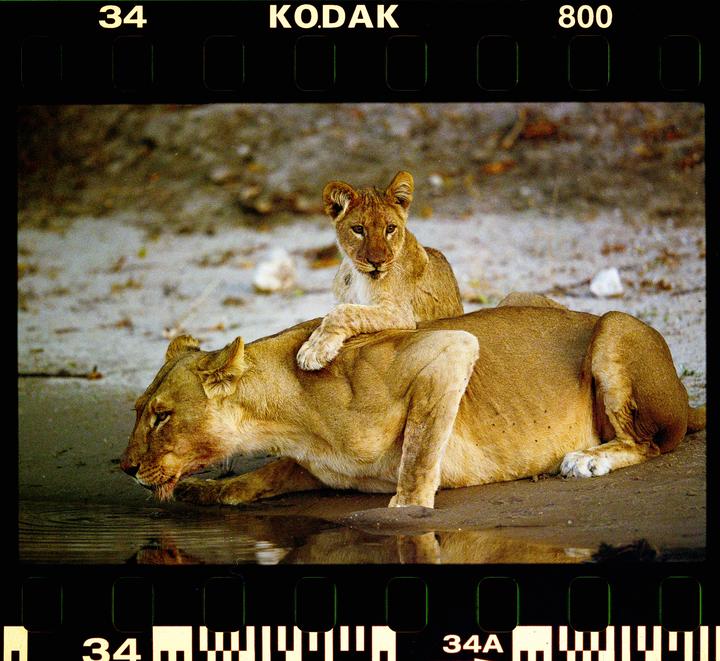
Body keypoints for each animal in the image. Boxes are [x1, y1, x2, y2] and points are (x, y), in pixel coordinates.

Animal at [121, 300, 705, 510]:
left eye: (162, 416)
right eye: (139, 410)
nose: (124, 468)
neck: (286, 421)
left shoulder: (450, 350)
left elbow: (422, 450)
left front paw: (406, 510)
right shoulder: (313, 465)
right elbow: (259, 478)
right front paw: (206, 490)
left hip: (614, 328)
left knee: (651, 442)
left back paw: (589, 459)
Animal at [296, 170, 464, 370]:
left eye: (390, 228)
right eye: (358, 229)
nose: (377, 262)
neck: (357, 277)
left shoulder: (400, 314)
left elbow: (343, 312)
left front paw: (315, 350)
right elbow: (333, 314)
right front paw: (314, 341)